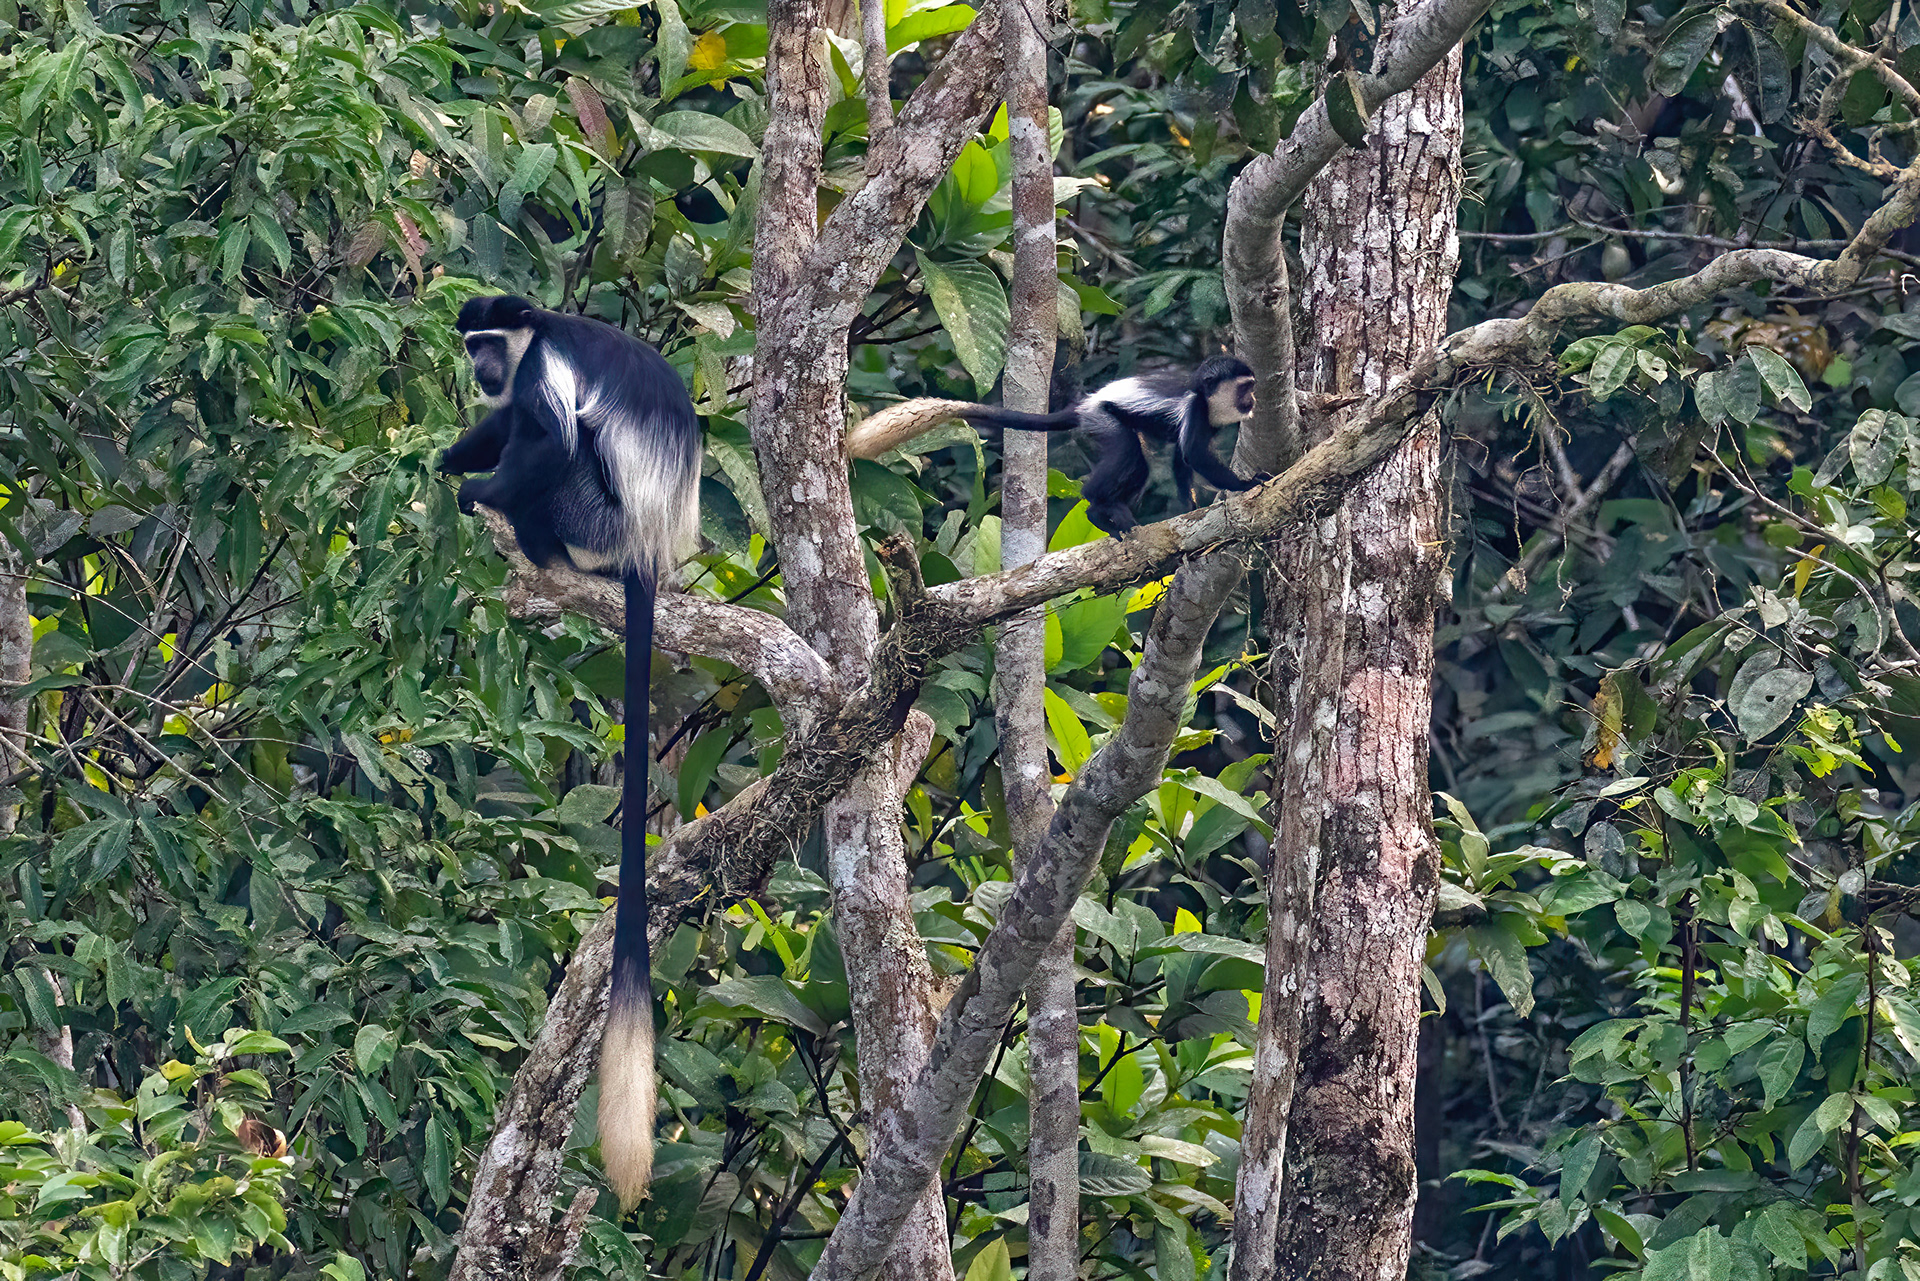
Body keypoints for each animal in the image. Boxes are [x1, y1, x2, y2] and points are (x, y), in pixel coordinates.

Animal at [441, 294, 699, 1211]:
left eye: (489, 341)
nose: (480, 365)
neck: (533, 331)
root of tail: (647, 550)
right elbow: (500, 420)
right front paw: (446, 457)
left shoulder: (541, 366)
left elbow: (546, 436)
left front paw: (474, 487)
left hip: (595, 515)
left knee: (559, 452)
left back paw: (540, 546)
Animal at [841, 356, 1261, 534]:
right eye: (1246, 388)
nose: (1254, 401)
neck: (1204, 397)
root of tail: (1084, 404)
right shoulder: (1195, 409)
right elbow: (1192, 455)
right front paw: (1247, 484)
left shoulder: (1205, 422)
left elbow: (1182, 461)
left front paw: (1191, 508)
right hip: (1103, 420)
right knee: (1130, 457)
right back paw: (1098, 509)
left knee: (1138, 466)